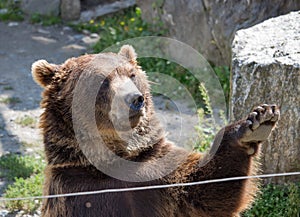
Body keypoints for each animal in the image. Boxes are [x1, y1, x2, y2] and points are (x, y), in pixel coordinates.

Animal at [31, 44, 280, 217]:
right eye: (102, 81)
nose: (135, 99)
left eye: (131, 74)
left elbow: (208, 190)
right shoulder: (76, 191)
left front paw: (256, 121)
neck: (115, 161)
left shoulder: (157, 170)